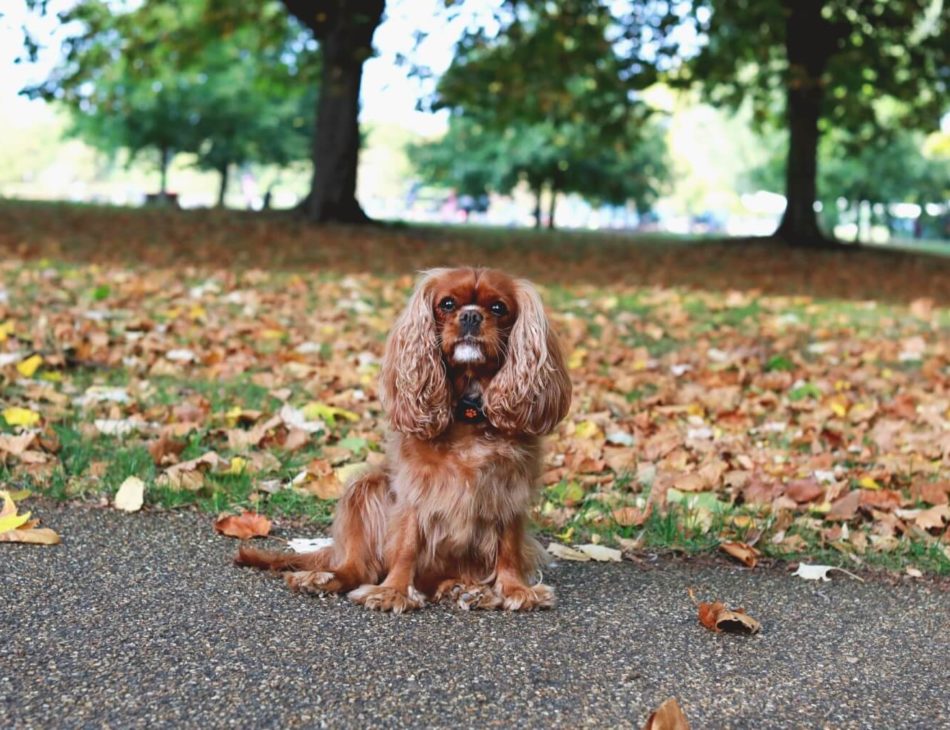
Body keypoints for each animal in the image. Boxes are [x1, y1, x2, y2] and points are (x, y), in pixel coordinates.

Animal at [237, 268, 572, 608]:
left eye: (498, 308)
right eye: (447, 304)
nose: (471, 316)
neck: (468, 410)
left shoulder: (509, 491)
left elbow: (509, 547)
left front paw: (516, 589)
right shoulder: (414, 489)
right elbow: (407, 544)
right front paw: (394, 591)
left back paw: (463, 588)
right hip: (365, 488)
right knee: (356, 569)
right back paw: (324, 579)